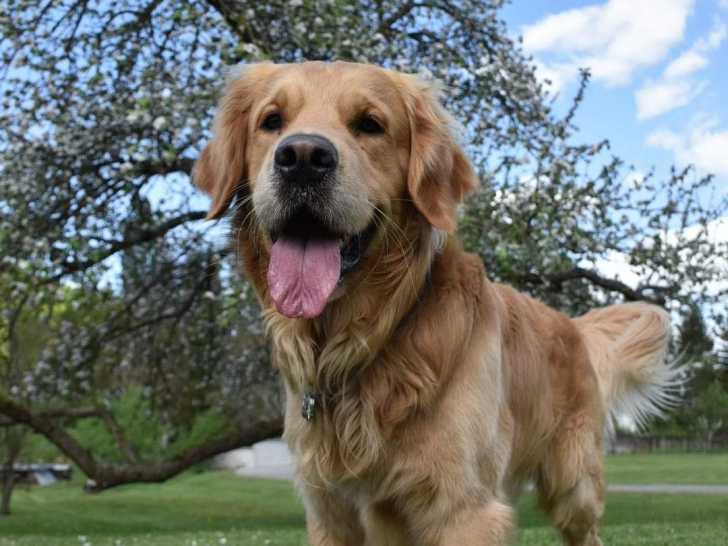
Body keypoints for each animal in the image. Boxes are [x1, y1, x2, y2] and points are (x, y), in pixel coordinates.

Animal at [193, 61, 676, 546]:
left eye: (371, 124)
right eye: (271, 121)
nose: (303, 158)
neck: (361, 342)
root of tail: (573, 326)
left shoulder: (465, 509)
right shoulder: (330, 512)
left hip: (574, 485)